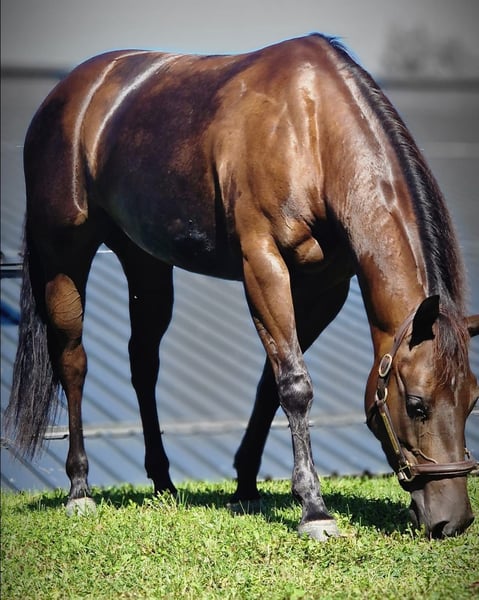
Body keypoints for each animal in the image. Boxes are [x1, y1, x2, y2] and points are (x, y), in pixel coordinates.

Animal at [5, 33, 479, 540]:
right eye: (416, 405)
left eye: (472, 401)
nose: (453, 520)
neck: (310, 130)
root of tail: (67, 95)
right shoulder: (263, 265)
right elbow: (295, 385)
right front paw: (314, 509)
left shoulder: (322, 289)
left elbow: (271, 385)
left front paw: (247, 486)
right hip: (64, 257)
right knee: (73, 362)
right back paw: (80, 488)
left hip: (145, 262)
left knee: (143, 364)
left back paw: (163, 483)